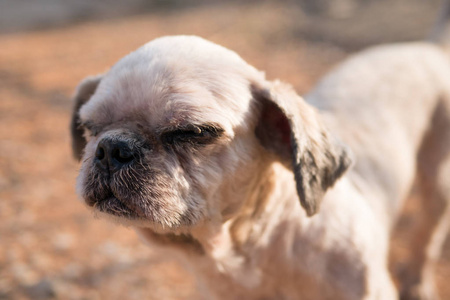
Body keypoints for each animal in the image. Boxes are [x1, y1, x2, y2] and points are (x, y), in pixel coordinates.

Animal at [70, 31, 450, 298]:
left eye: (192, 132)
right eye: (89, 128)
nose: (113, 148)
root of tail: (428, 47)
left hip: (437, 187)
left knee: (426, 240)